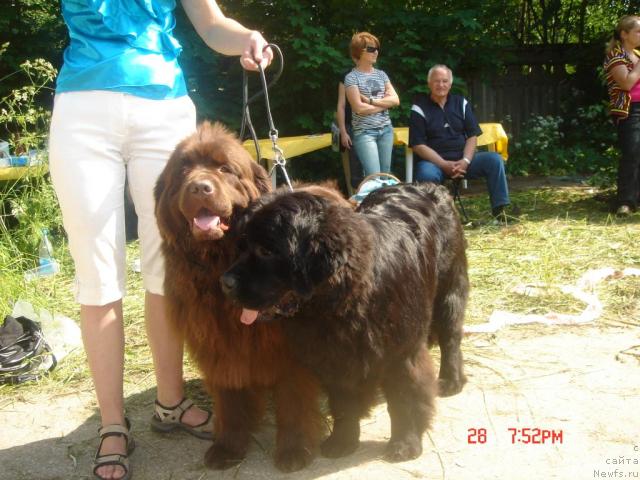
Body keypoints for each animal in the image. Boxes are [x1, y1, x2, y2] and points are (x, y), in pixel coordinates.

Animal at [154, 121, 322, 472]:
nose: (199, 188)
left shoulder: (290, 348)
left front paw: (294, 450)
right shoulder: (218, 343)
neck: (221, 262)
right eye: (183, 171)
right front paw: (228, 448)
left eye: (225, 169)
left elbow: (294, 398)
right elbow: (229, 398)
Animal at [222, 181, 468, 462]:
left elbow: (403, 400)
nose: (225, 282)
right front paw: (342, 440)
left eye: (266, 251)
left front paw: (404, 443)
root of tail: (430, 185)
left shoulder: (401, 353)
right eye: (241, 248)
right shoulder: (333, 357)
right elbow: (342, 404)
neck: (339, 304)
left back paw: (450, 380)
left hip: (449, 289)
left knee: (451, 336)